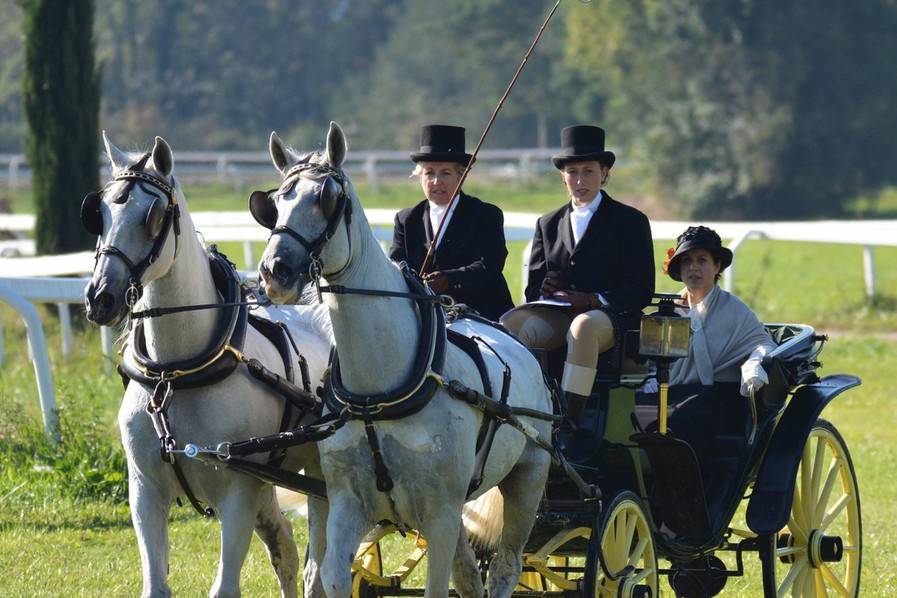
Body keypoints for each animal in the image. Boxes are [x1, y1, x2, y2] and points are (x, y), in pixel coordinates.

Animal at [83, 136, 332, 598]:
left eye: (154, 217)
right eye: (100, 212)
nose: (100, 298)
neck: (174, 376)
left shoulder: (237, 495)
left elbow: (225, 587)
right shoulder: (145, 493)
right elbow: (155, 585)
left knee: (319, 565)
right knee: (286, 550)